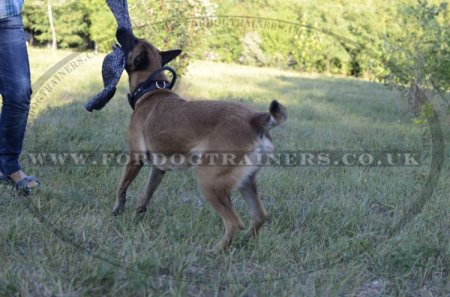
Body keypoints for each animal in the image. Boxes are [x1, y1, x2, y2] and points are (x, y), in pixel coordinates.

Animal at [113, 36, 288, 250]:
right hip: (246, 182)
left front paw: (117, 211)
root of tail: (255, 119)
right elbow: (145, 196)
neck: (151, 90)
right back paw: (243, 243)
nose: (121, 32)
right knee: (260, 216)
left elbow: (121, 187)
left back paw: (216, 251)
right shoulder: (158, 169)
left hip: (208, 180)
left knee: (234, 222)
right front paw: (137, 217)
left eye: (132, 40)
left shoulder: (135, 158)